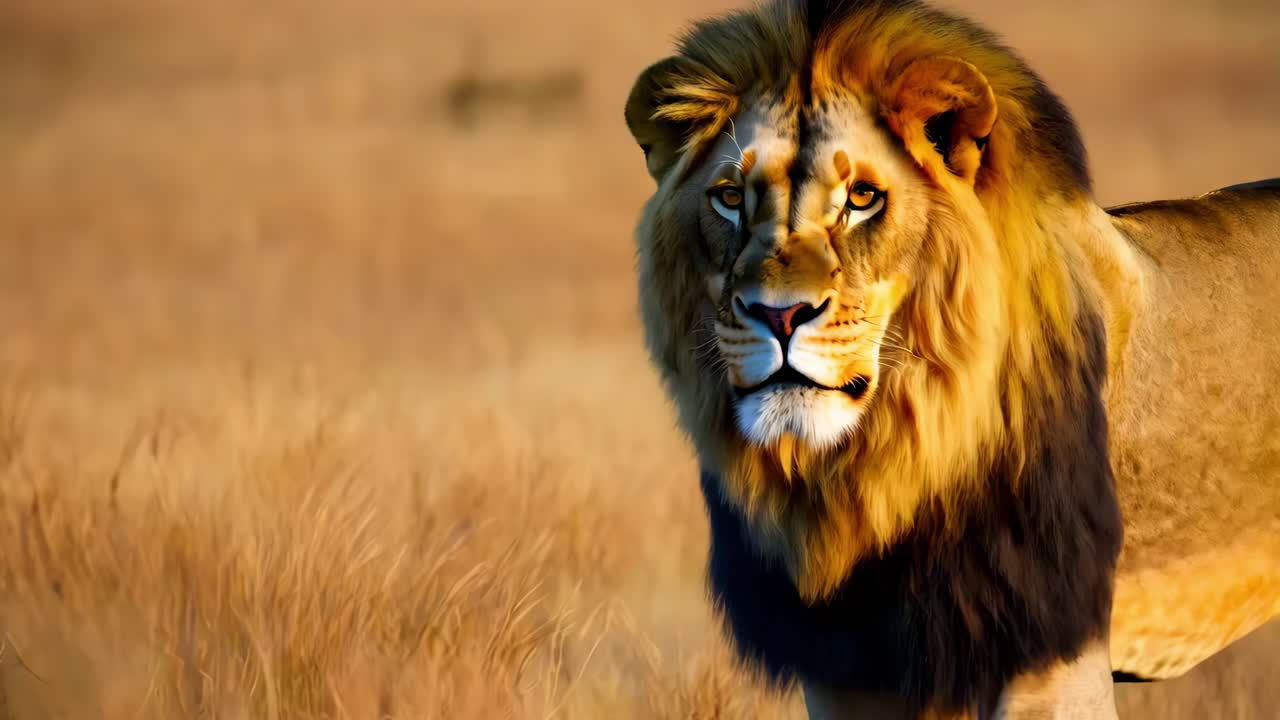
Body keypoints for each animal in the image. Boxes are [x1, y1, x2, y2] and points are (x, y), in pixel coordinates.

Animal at [623, 1, 1280, 717]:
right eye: (730, 198)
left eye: (861, 199)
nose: (779, 315)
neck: (871, 473)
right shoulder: (845, 668)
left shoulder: (1052, 656)